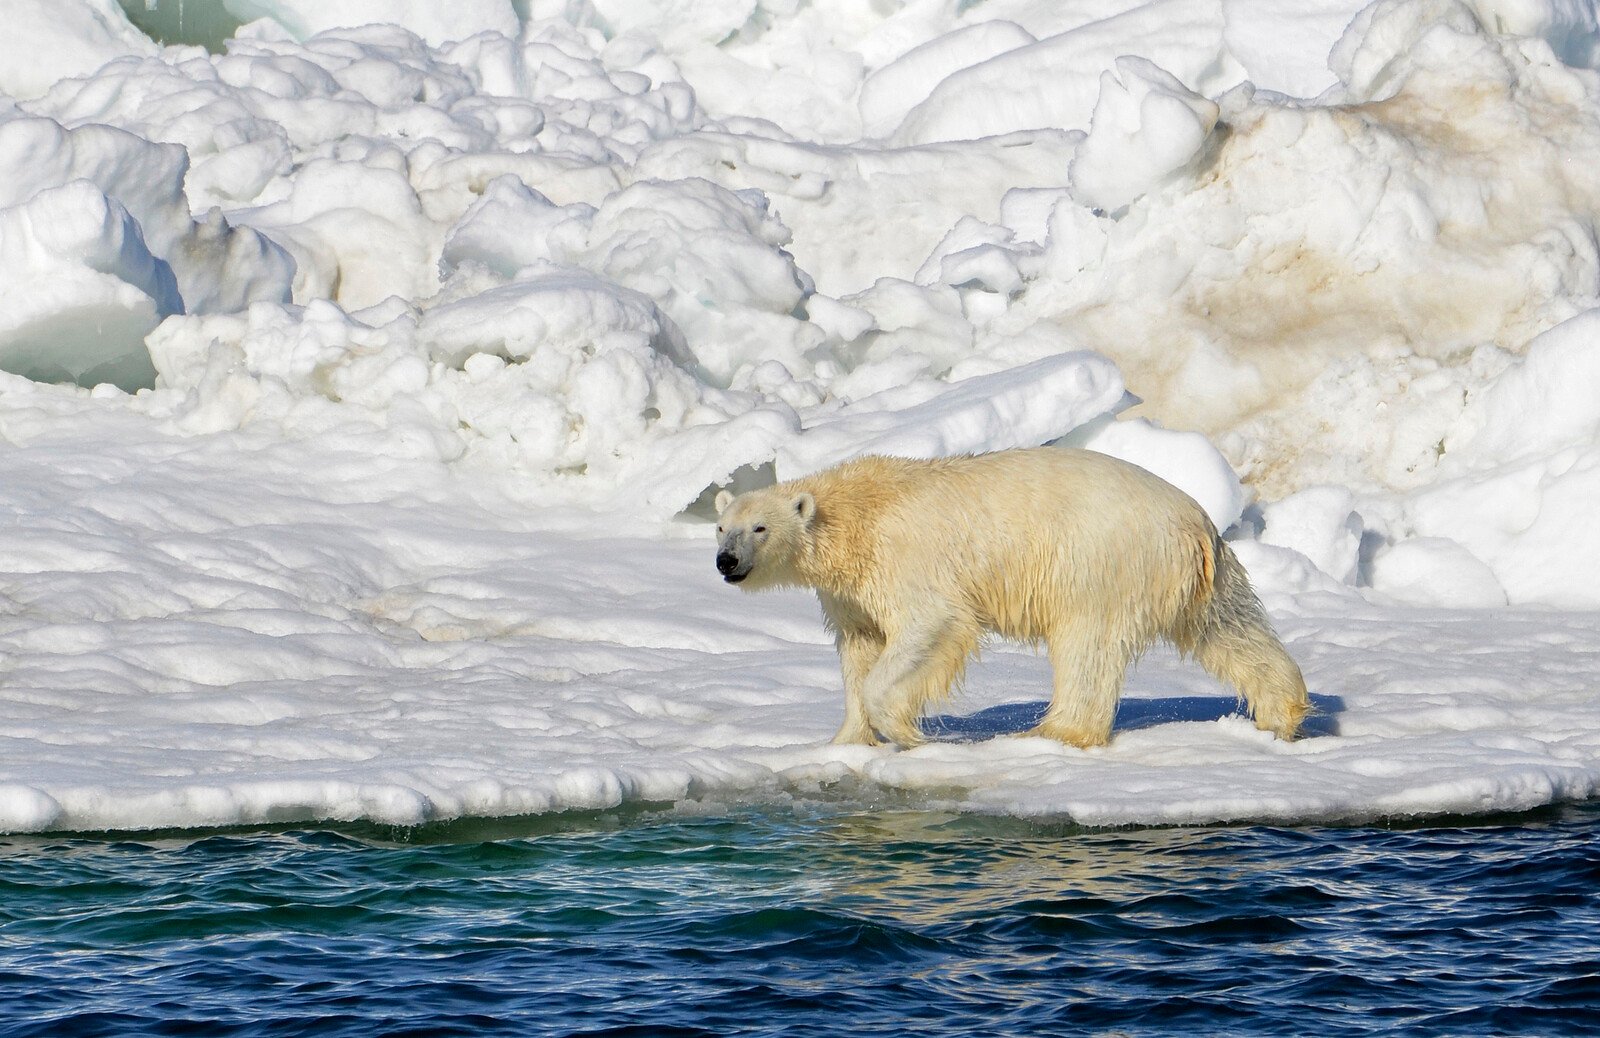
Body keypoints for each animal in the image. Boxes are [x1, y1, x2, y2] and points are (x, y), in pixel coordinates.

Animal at [720, 444, 1305, 745]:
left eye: (759, 529)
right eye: (723, 527)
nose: (726, 562)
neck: (857, 514)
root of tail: (1194, 523)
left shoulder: (905, 560)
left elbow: (931, 625)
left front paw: (907, 733)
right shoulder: (851, 591)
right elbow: (859, 646)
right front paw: (845, 742)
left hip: (1101, 561)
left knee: (1087, 645)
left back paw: (1053, 732)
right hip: (1201, 575)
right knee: (1229, 629)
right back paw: (1283, 713)